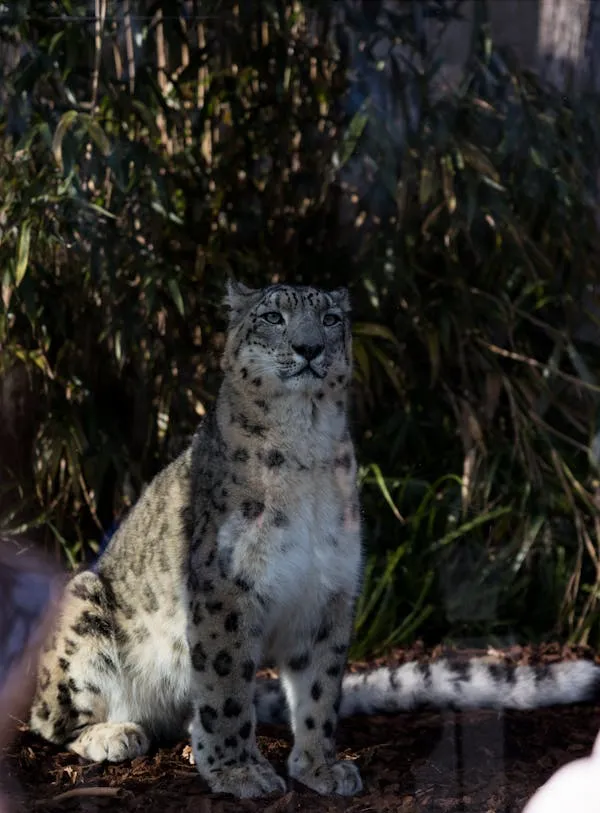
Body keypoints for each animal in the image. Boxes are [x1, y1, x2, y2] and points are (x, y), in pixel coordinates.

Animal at [29, 280, 600, 799]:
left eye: (329, 319)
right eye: (273, 317)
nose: (309, 348)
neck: (306, 445)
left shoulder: (330, 589)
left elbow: (320, 688)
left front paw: (319, 766)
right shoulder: (224, 589)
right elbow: (224, 684)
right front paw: (239, 772)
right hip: (81, 604)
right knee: (48, 718)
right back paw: (114, 734)